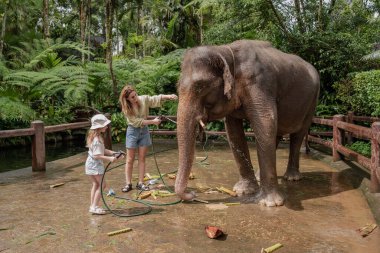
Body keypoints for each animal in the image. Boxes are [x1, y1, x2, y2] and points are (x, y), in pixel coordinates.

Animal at [175, 38, 320, 207]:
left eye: (200, 86)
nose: (192, 193)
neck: (226, 50)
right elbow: (233, 131)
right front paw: (243, 191)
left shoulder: (259, 83)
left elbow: (265, 121)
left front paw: (271, 203)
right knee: (275, 134)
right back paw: (260, 175)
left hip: (312, 101)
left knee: (298, 135)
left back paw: (291, 178)